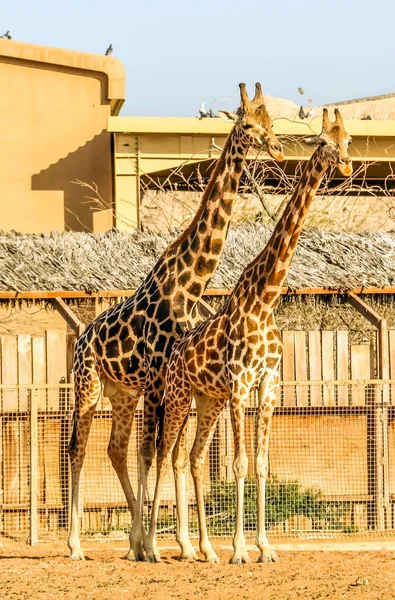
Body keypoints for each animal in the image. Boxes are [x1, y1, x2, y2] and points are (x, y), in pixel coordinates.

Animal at [68, 82, 284, 560]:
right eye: (248, 124)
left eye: (271, 122)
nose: (277, 148)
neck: (190, 285)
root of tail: (80, 338)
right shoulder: (158, 378)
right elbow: (158, 453)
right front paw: (166, 544)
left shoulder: (169, 382)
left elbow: (172, 454)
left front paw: (181, 545)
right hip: (89, 386)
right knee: (79, 448)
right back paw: (76, 545)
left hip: (123, 394)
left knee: (116, 449)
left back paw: (133, 540)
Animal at [144, 110, 354, 564]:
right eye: (324, 142)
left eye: (348, 139)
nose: (346, 165)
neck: (266, 297)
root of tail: (174, 351)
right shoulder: (241, 383)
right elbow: (239, 463)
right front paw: (241, 549)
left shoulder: (268, 383)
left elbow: (259, 463)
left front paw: (265, 547)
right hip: (179, 395)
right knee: (164, 454)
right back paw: (151, 547)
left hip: (207, 400)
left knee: (191, 457)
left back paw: (204, 549)